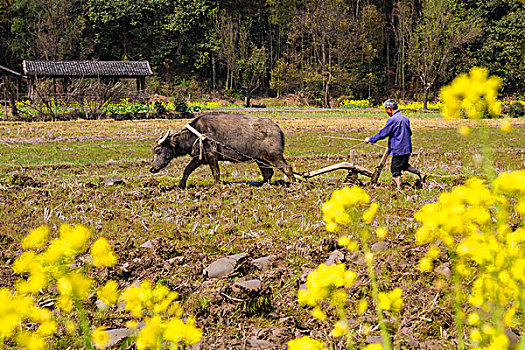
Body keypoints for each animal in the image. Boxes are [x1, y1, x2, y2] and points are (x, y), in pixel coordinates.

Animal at [149, 113, 294, 187]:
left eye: (158, 150)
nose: (152, 168)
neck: (198, 134)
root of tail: (278, 129)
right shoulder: (199, 158)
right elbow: (187, 170)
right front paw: (180, 185)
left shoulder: (212, 155)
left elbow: (216, 172)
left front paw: (217, 185)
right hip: (260, 159)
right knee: (268, 173)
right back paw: (261, 185)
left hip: (274, 156)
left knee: (287, 168)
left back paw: (293, 184)